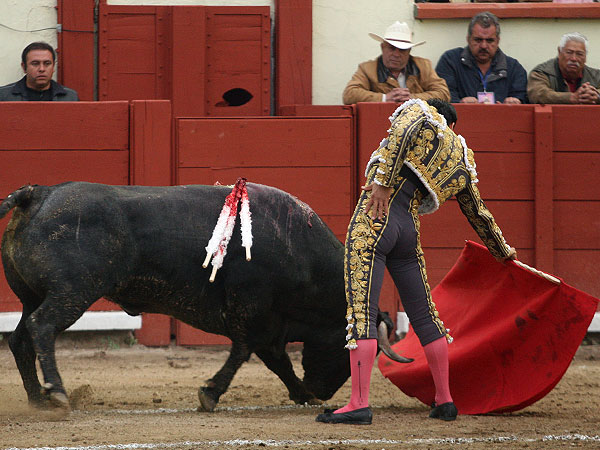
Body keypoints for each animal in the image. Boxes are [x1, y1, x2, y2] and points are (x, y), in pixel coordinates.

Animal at [0, 181, 408, 414]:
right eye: (353, 350)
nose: (320, 392)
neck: (300, 250)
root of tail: (36, 194)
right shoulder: (253, 312)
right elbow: (244, 353)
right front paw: (210, 393)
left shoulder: (268, 324)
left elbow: (277, 362)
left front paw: (300, 394)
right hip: (73, 291)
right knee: (42, 327)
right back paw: (57, 393)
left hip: (32, 295)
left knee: (20, 338)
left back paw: (37, 399)